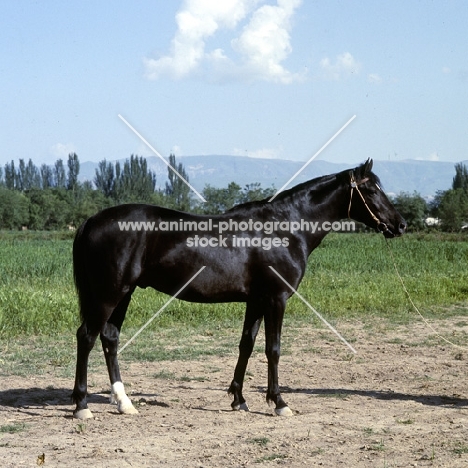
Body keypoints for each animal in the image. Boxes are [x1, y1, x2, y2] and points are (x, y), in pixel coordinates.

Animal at [70, 159, 406, 418]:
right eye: (371, 189)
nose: (400, 225)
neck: (286, 226)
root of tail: (91, 220)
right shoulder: (276, 299)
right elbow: (273, 349)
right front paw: (279, 402)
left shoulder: (256, 301)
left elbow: (247, 345)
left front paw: (239, 400)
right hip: (109, 294)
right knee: (86, 337)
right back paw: (82, 405)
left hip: (123, 294)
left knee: (110, 338)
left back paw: (124, 403)